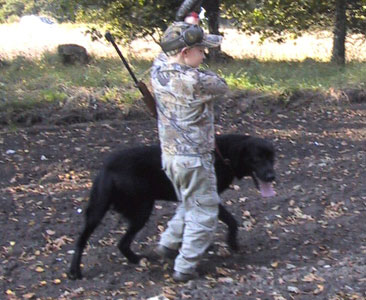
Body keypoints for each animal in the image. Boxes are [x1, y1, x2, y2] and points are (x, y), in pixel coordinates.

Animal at [68, 134, 274, 278]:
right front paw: (232, 243)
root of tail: (106, 168)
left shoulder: (188, 200)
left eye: (272, 158)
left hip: (104, 209)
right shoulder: (207, 196)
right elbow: (231, 221)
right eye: (257, 158)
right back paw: (76, 271)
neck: (225, 155)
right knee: (95, 241)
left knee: (109, 242)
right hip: (139, 209)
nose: (272, 176)